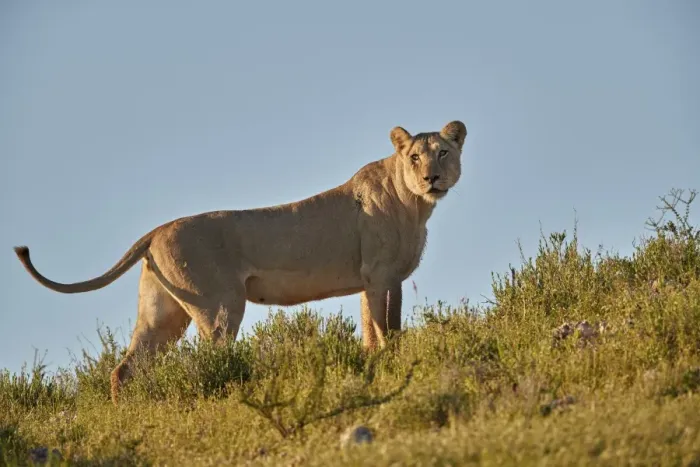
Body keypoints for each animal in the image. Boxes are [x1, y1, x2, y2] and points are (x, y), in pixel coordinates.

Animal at [13, 120, 467, 404]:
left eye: (443, 152)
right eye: (414, 157)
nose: (431, 177)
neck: (415, 205)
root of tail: (157, 230)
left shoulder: (368, 281)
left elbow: (371, 332)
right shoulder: (381, 276)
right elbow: (389, 330)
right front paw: (390, 367)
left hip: (161, 314)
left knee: (125, 368)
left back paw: (124, 415)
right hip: (221, 304)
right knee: (209, 359)